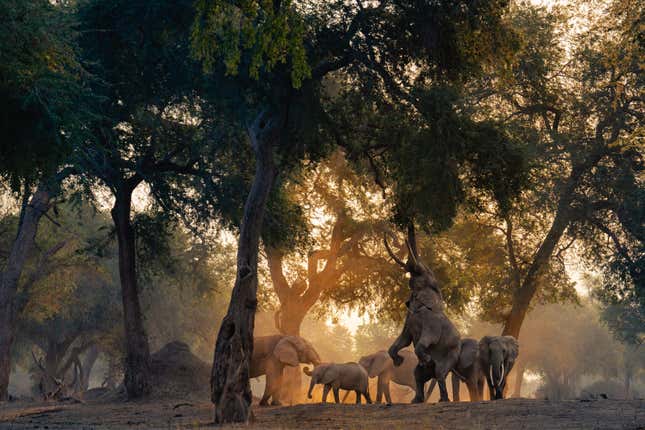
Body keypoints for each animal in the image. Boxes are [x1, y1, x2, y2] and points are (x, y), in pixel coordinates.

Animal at [384, 228, 460, 404]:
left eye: (425, 272)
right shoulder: (409, 319)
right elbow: (404, 339)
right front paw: (398, 361)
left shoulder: (432, 323)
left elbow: (425, 340)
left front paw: (427, 359)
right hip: (421, 371)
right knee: (417, 375)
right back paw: (416, 400)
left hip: (450, 356)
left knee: (440, 373)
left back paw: (443, 399)